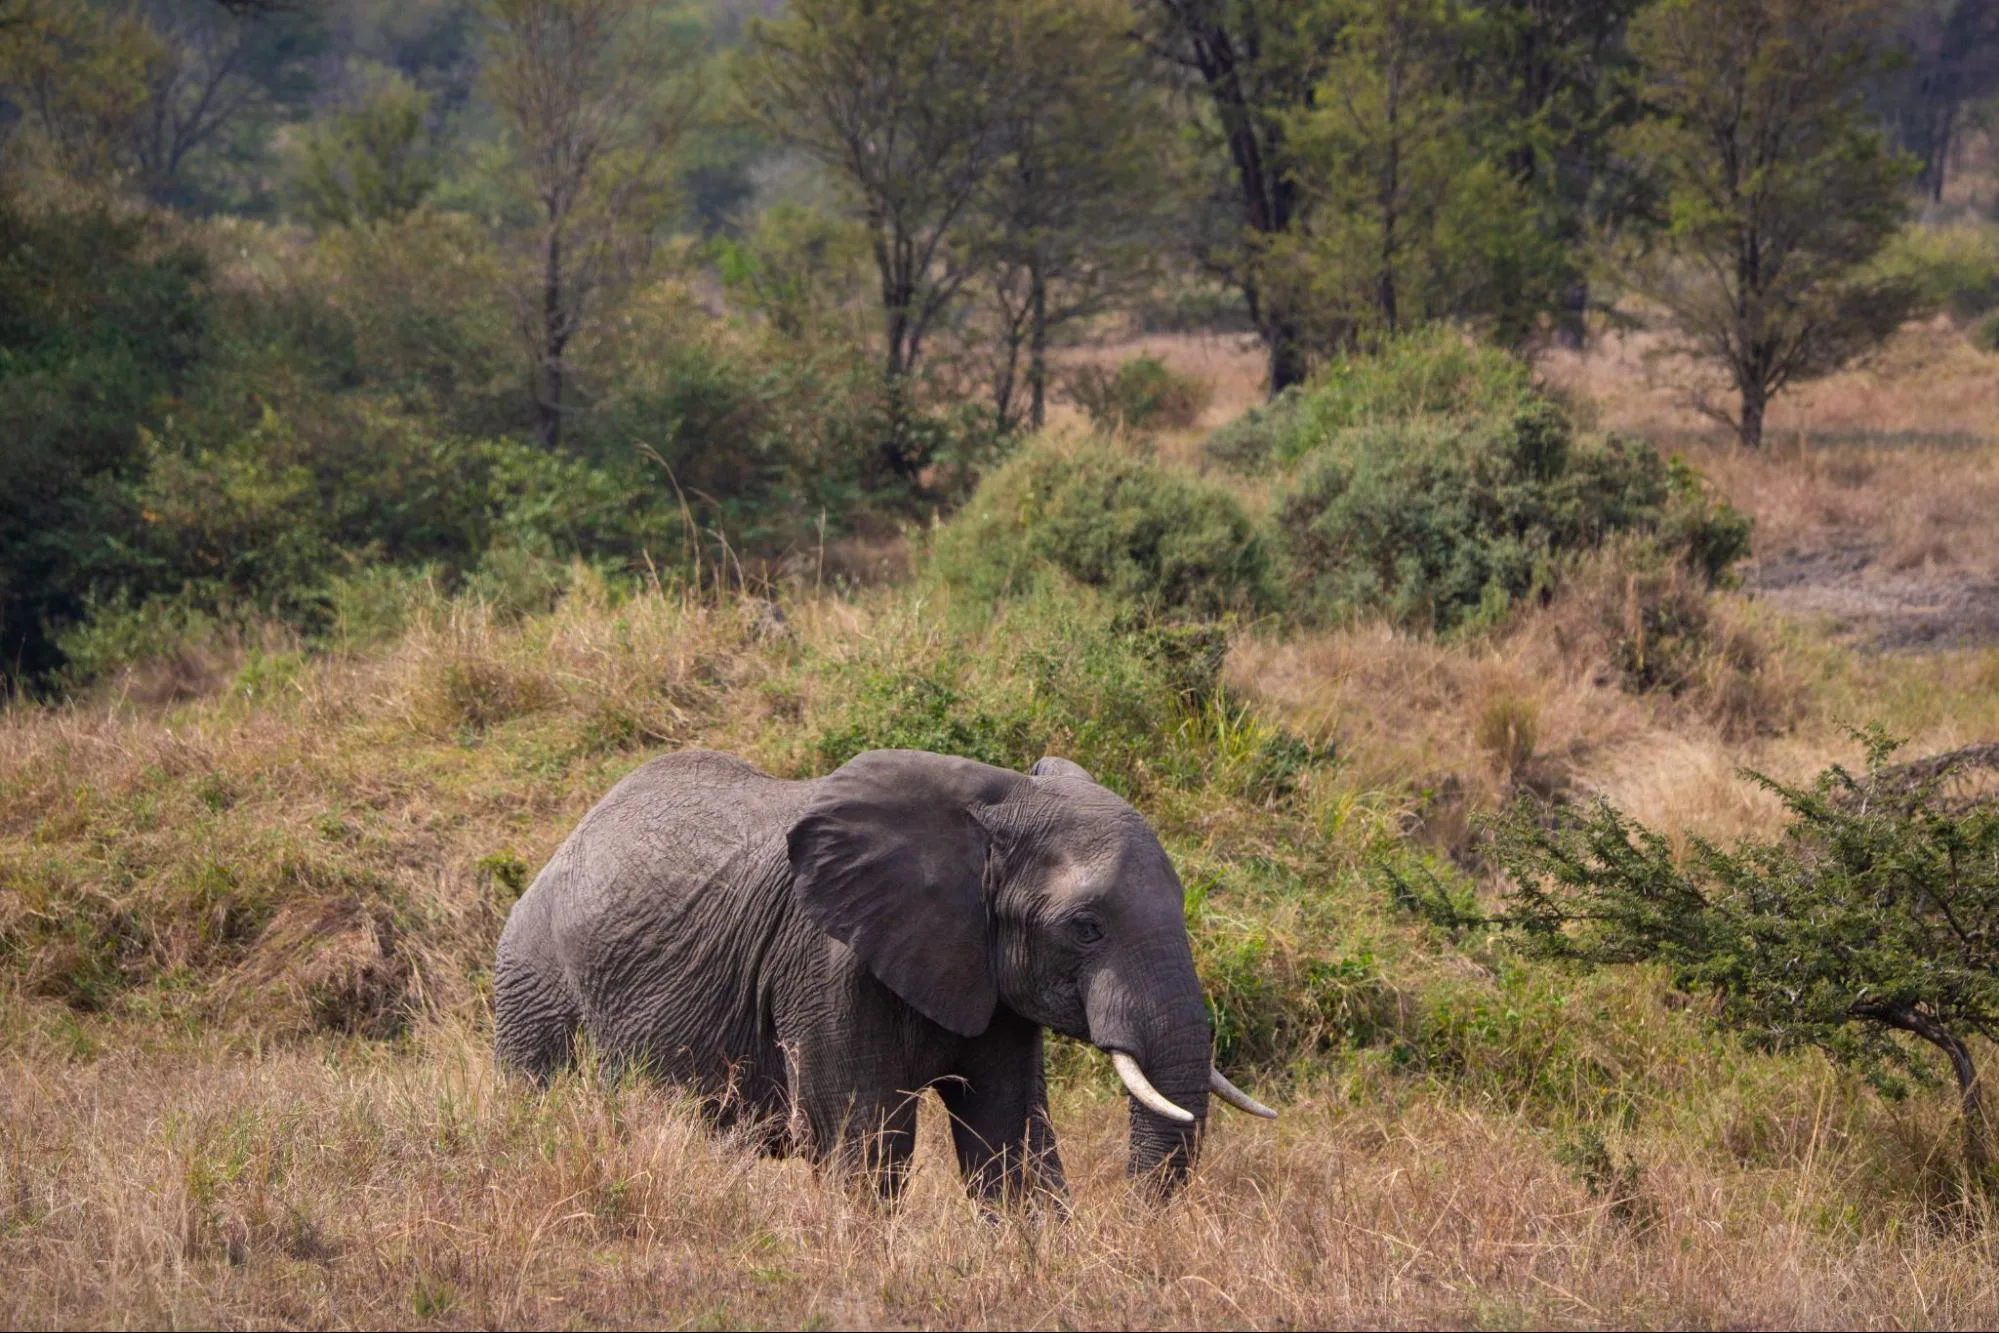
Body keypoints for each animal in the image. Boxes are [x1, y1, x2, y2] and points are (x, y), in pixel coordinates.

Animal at [495, 747, 1279, 1207]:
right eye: (1085, 927)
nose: (1132, 1215)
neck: (988, 812)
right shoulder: (825, 961)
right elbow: (862, 1136)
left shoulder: (984, 971)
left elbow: (1011, 1134)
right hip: (533, 977)